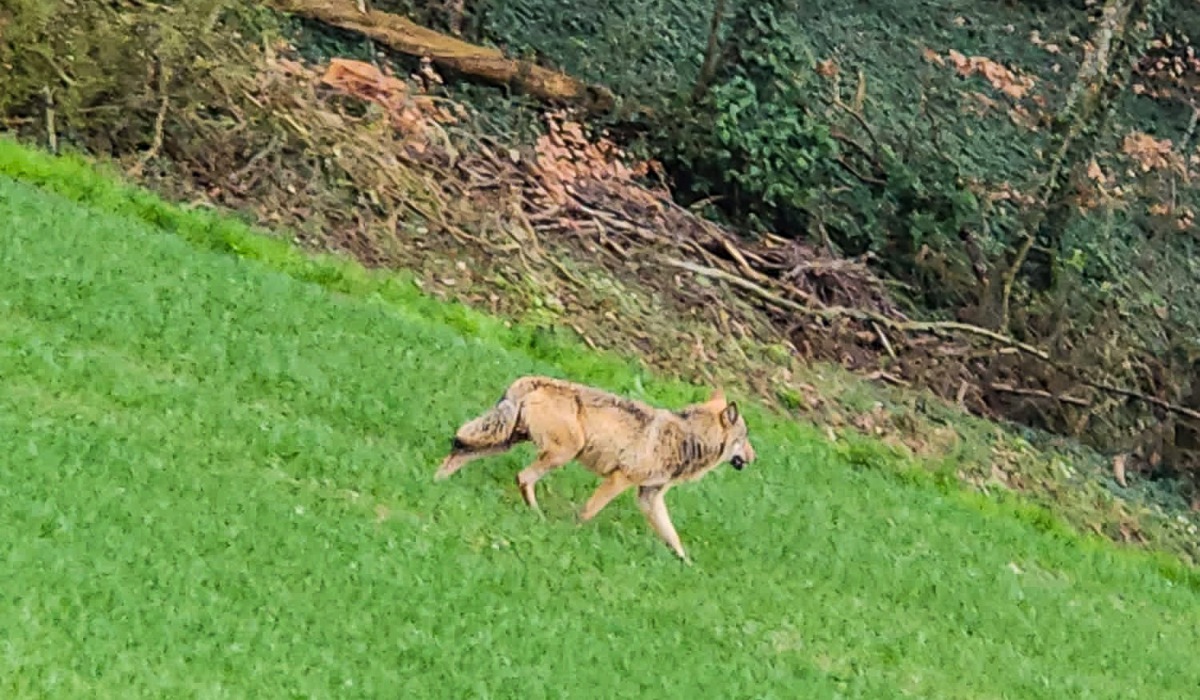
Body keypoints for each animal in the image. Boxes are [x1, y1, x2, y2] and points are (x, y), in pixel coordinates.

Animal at [432, 374, 753, 561]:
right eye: (746, 438)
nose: (754, 457)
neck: (688, 438)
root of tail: (532, 379)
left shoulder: (649, 498)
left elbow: (673, 537)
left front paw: (686, 565)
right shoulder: (619, 480)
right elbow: (587, 513)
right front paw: (570, 534)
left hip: (504, 441)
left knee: (458, 450)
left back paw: (434, 483)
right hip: (561, 452)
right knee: (522, 477)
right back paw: (537, 516)